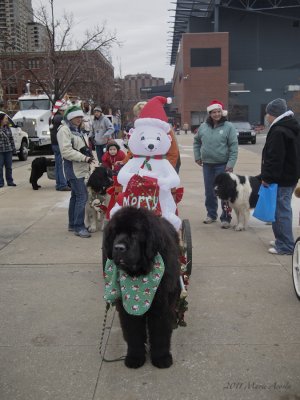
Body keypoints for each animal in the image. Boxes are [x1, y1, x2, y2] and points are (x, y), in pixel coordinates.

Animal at [103, 206, 180, 368]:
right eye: (115, 233)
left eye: (135, 233)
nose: (118, 248)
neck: (139, 274)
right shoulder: (127, 307)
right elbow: (133, 333)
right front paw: (135, 358)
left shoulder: (162, 305)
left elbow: (161, 332)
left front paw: (162, 358)